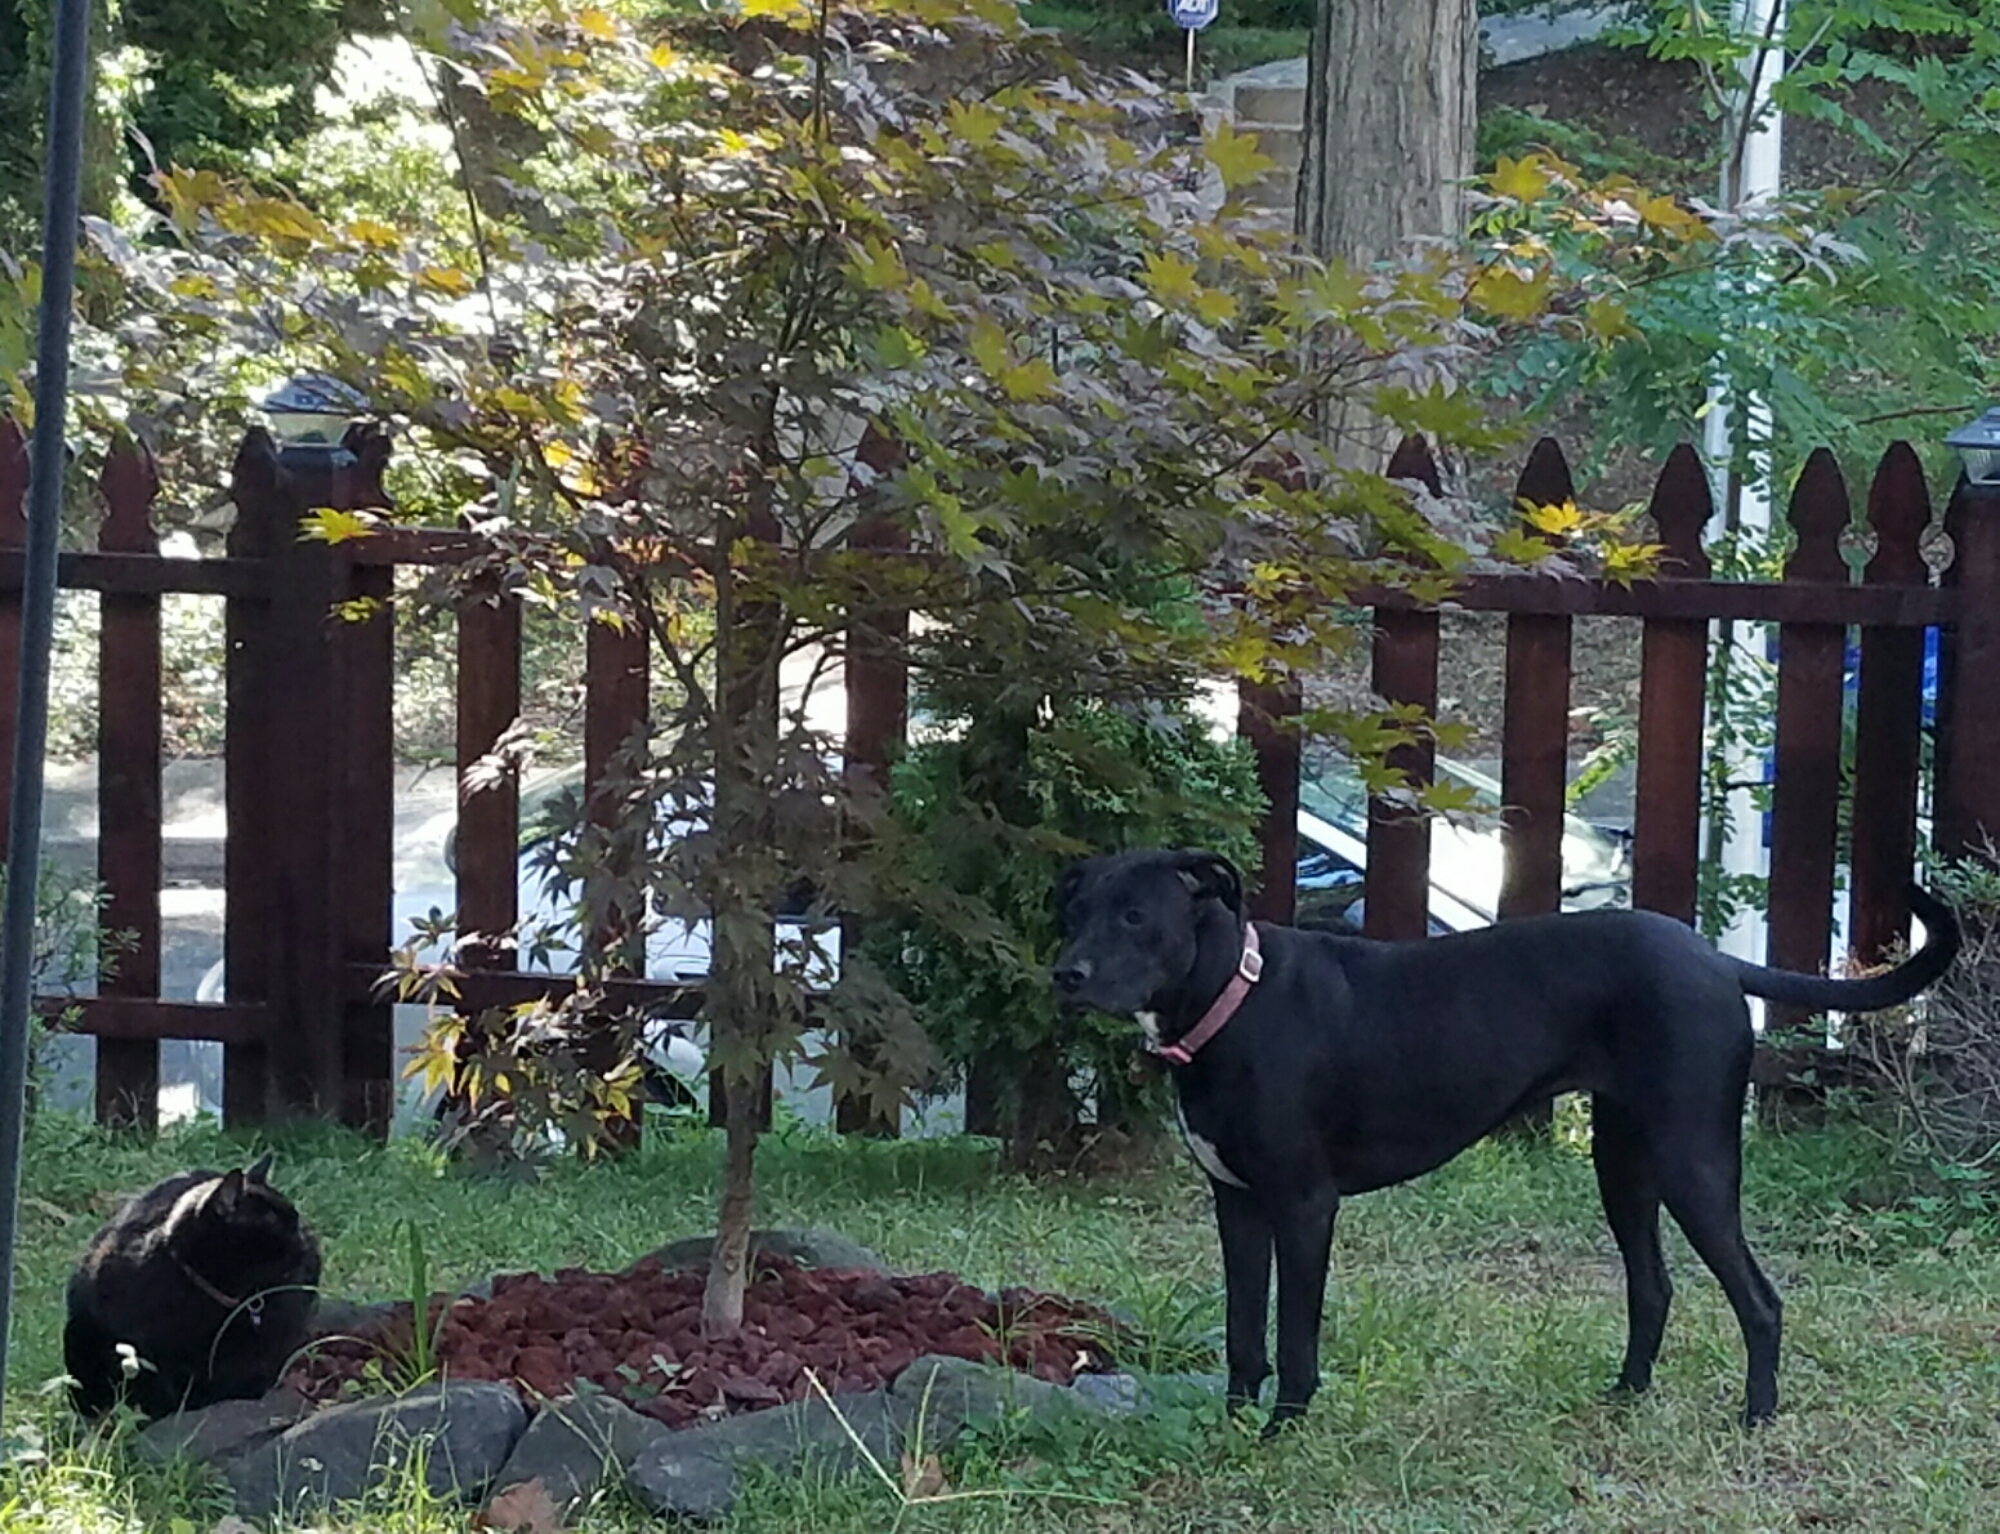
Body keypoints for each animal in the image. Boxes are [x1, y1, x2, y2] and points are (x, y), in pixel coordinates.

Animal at [1052, 848, 1959, 1431]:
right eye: (1076, 912)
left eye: (1135, 916)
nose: (1067, 974)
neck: (1233, 1004)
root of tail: (1714, 959)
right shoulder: (1237, 1205)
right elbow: (1245, 1331)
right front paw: (1235, 1426)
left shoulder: (1304, 1208)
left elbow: (1294, 1334)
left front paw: (1284, 1432)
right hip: (1622, 1163)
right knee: (1652, 1286)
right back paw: (1625, 1397)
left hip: (1693, 1161)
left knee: (1760, 1299)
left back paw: (1756, 1417)